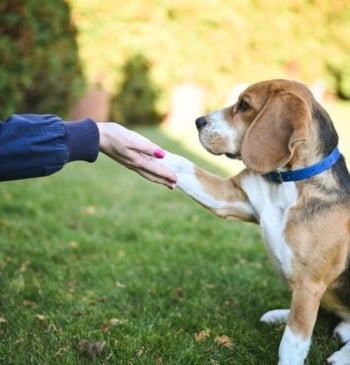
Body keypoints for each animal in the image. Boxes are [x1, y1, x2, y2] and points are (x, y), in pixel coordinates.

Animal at [159, 79, 350, 364]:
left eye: (244, 106)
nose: (198, 121)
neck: (286, 183)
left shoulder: (309, 285)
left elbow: (292, 342)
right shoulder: (229, 196)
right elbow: (182, 164)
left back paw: (342, 354)